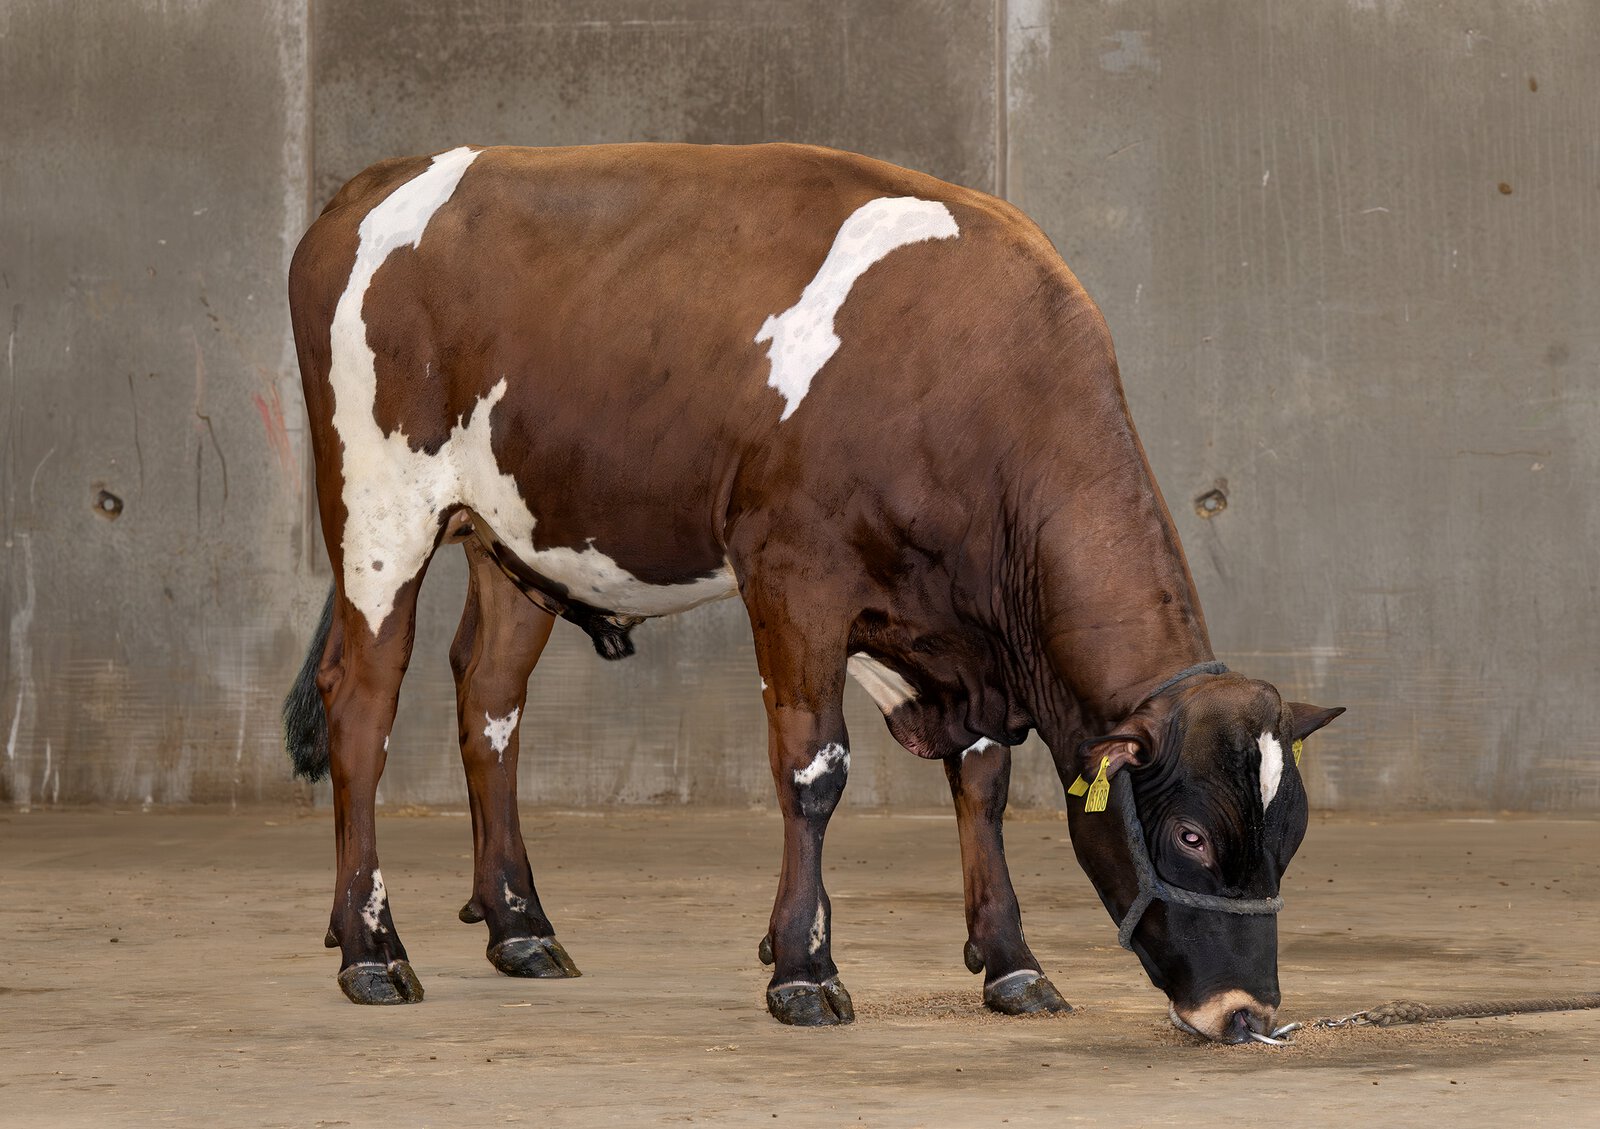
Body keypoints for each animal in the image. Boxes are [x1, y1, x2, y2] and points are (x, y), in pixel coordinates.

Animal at [282, 142, 1342, 1043]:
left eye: (1291, 835)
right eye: (1191, 833)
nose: (1247, 1013)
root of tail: (369, 184)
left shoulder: (955, 643)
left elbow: (985, 786)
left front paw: (1011, 961)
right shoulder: (796, 574)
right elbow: (814, 770)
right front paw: (803, 966)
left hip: (517, 538)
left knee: (490, 702)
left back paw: (520, 927)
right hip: (378, 509)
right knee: (361, 707)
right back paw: (372, 949)